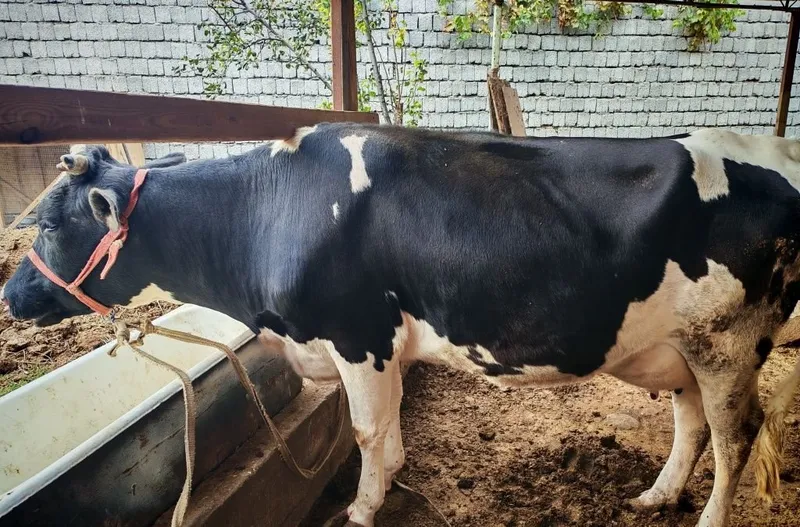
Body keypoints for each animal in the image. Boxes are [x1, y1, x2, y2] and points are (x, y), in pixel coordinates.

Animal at [3, 124, 800, 527]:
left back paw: (705, 517)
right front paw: (391, 477)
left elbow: (363, 429)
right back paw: (656, 497)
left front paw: (361, 507)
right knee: (691, 425)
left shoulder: (356, 333)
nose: (11, 295)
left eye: (49, 224)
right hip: (681, 346)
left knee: (735, 435)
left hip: (728, 341)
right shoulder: (380, 345)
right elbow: (384, 427)